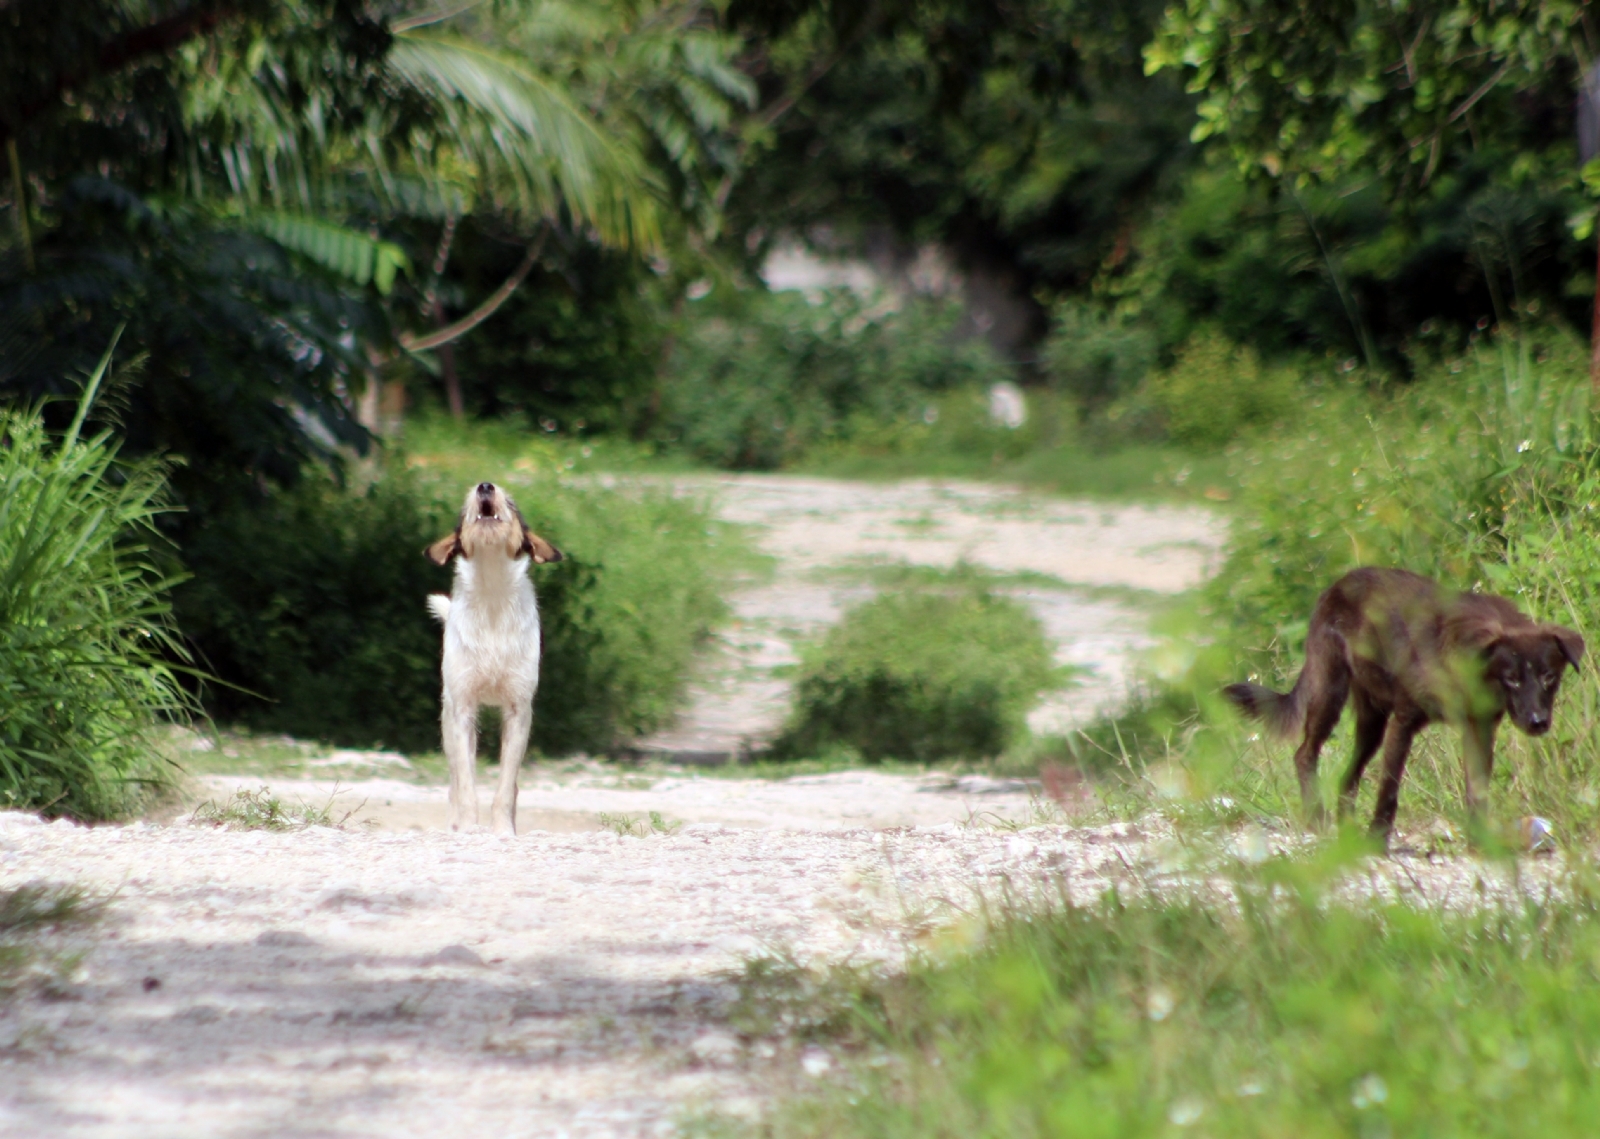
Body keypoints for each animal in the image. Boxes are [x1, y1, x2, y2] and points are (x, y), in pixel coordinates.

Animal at [425, 483, 563, 838]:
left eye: (511, 503)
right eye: (465, 508)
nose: (485, 486)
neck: (492, 596)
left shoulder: (518, 711)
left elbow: (505, 787)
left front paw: (502, 830)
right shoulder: (462, 710)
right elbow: (466, 786)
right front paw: (468, 828)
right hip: (449, 721)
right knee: (456, 780)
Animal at [1228, 566, 1580, 838]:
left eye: (1549, 677)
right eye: (1512, 679)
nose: (1537, 722)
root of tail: (1337, 584)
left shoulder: (1479, 730)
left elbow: (1477, 792)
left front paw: (1481, 844)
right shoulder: (1405, 721)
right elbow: (1389, 789)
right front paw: (1376, 842)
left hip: (1372, 723)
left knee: (1347, 777)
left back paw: (1345, 830)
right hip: (1330, 695)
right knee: (1305, 754)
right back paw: (1317, 818)